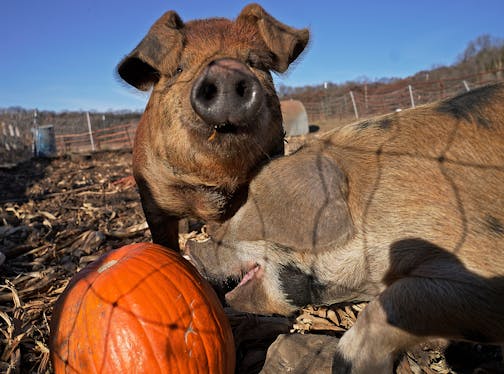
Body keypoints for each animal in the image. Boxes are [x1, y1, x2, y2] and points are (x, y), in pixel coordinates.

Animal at [118, 4, 310, 250]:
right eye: (179, 68)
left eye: (255, 63)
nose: (226, 71)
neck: (213, 186)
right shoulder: (152, 199)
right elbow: (163, 240)